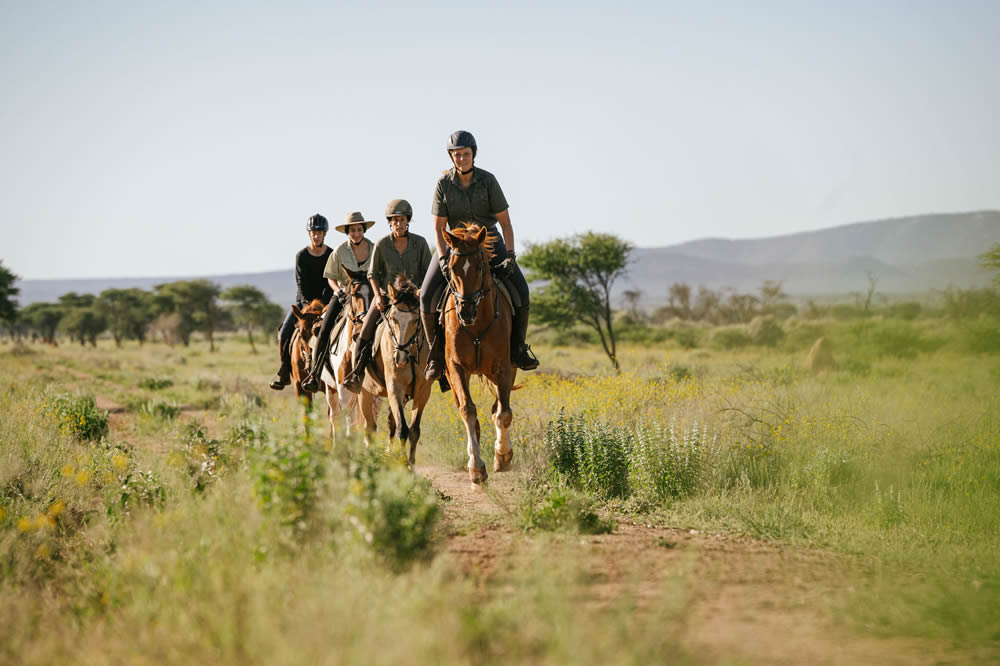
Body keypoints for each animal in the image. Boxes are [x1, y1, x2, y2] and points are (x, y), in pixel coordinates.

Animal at [362, 274, 436, 462]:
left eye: (416, 320)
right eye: (393, 318)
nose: (399, 358)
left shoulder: (423, 392)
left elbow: (414, 430)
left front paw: (410, 463)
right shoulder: (395, 387)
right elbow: (402, 429)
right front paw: (403, 463)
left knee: (389, 423)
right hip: (363, 392)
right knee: (369, 427)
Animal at [442, 224, 516, 482]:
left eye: (480, 266)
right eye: (451, 267)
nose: (466, 311)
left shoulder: (504, 367)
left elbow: (503, 413)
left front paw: (502, 455)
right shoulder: (456, 368)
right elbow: (468, 411)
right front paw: (476, 467)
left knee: (498, 409)